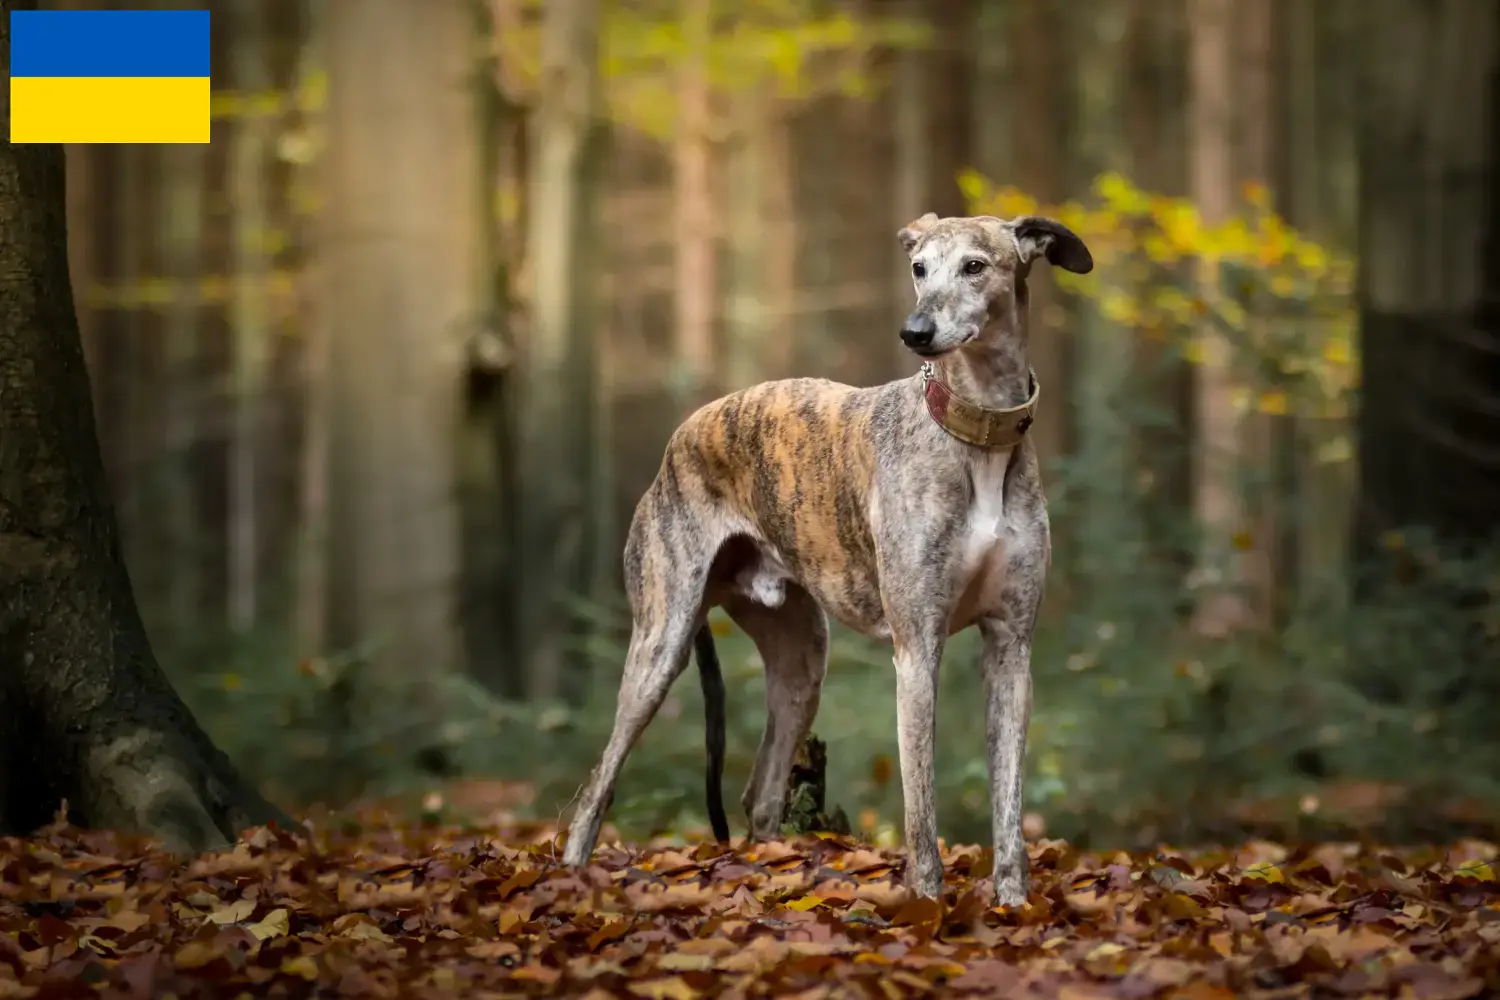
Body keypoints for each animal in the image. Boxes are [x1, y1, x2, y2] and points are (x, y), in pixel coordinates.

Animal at [564, 211, 1092, 905]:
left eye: (976, 266)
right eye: (919, 268)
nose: (914, 332)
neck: (975, 435)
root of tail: (681, 436)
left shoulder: (1011, 645)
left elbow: (1009, 805)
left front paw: (1013, 906)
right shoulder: (916, 648)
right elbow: (920, 811)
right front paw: (930, 909)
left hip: (800, 665)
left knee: (759, 793)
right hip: (660, 645)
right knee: (594, 785)